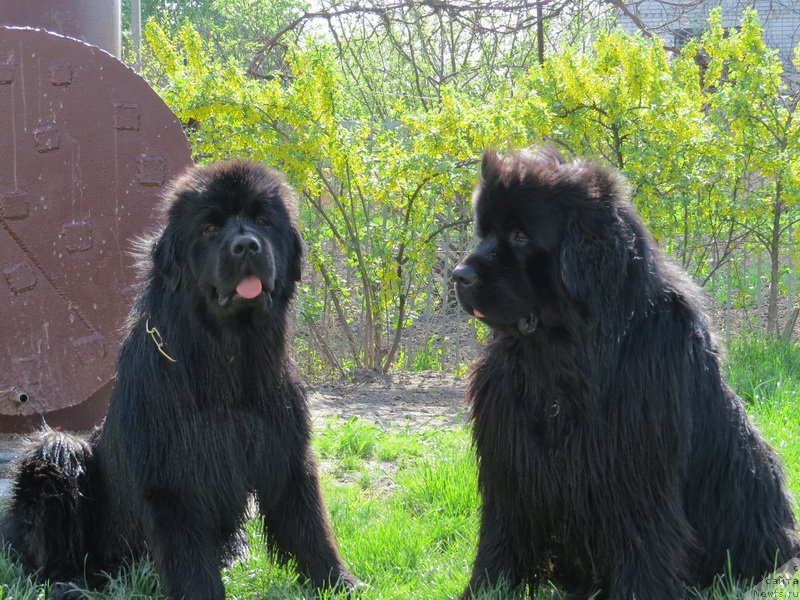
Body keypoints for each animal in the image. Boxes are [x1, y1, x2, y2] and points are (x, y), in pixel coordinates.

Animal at [0, 162, 356, 596]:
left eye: (262, 221)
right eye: (210, 228)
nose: (247, 246)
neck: (229, 360)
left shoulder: (287, 452)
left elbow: (310, 528)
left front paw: (341, 583)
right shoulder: (173, 476)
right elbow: (189, 557)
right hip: (56, 454)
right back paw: (69, 583)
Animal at [454, 148, 796, 596]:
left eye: (521, 236)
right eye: (485, 233)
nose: (458, 275)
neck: (560, 361)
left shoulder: (634, 471)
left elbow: (644, 540)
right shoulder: (509, 465)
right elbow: (500, 535)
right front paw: (484, 589)